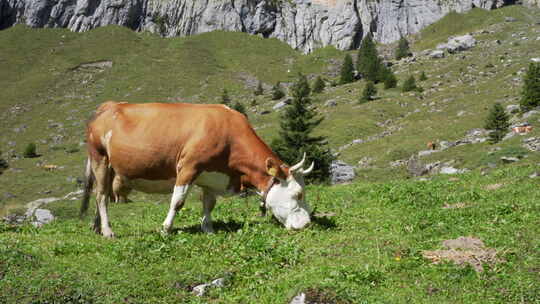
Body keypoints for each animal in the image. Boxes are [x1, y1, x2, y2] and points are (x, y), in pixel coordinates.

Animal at [81, 102, 314, 238]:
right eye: (298, 194)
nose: (307, 224)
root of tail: (107, 106)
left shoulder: (211, 176)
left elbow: (209, 203)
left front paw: (208, 229)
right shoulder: (188, 167)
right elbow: (177, 201)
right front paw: (166, 229)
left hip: (110, 166)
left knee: (100, 194)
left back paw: (97, 227)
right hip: (99, 157)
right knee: (101, 195)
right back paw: (108, 231)